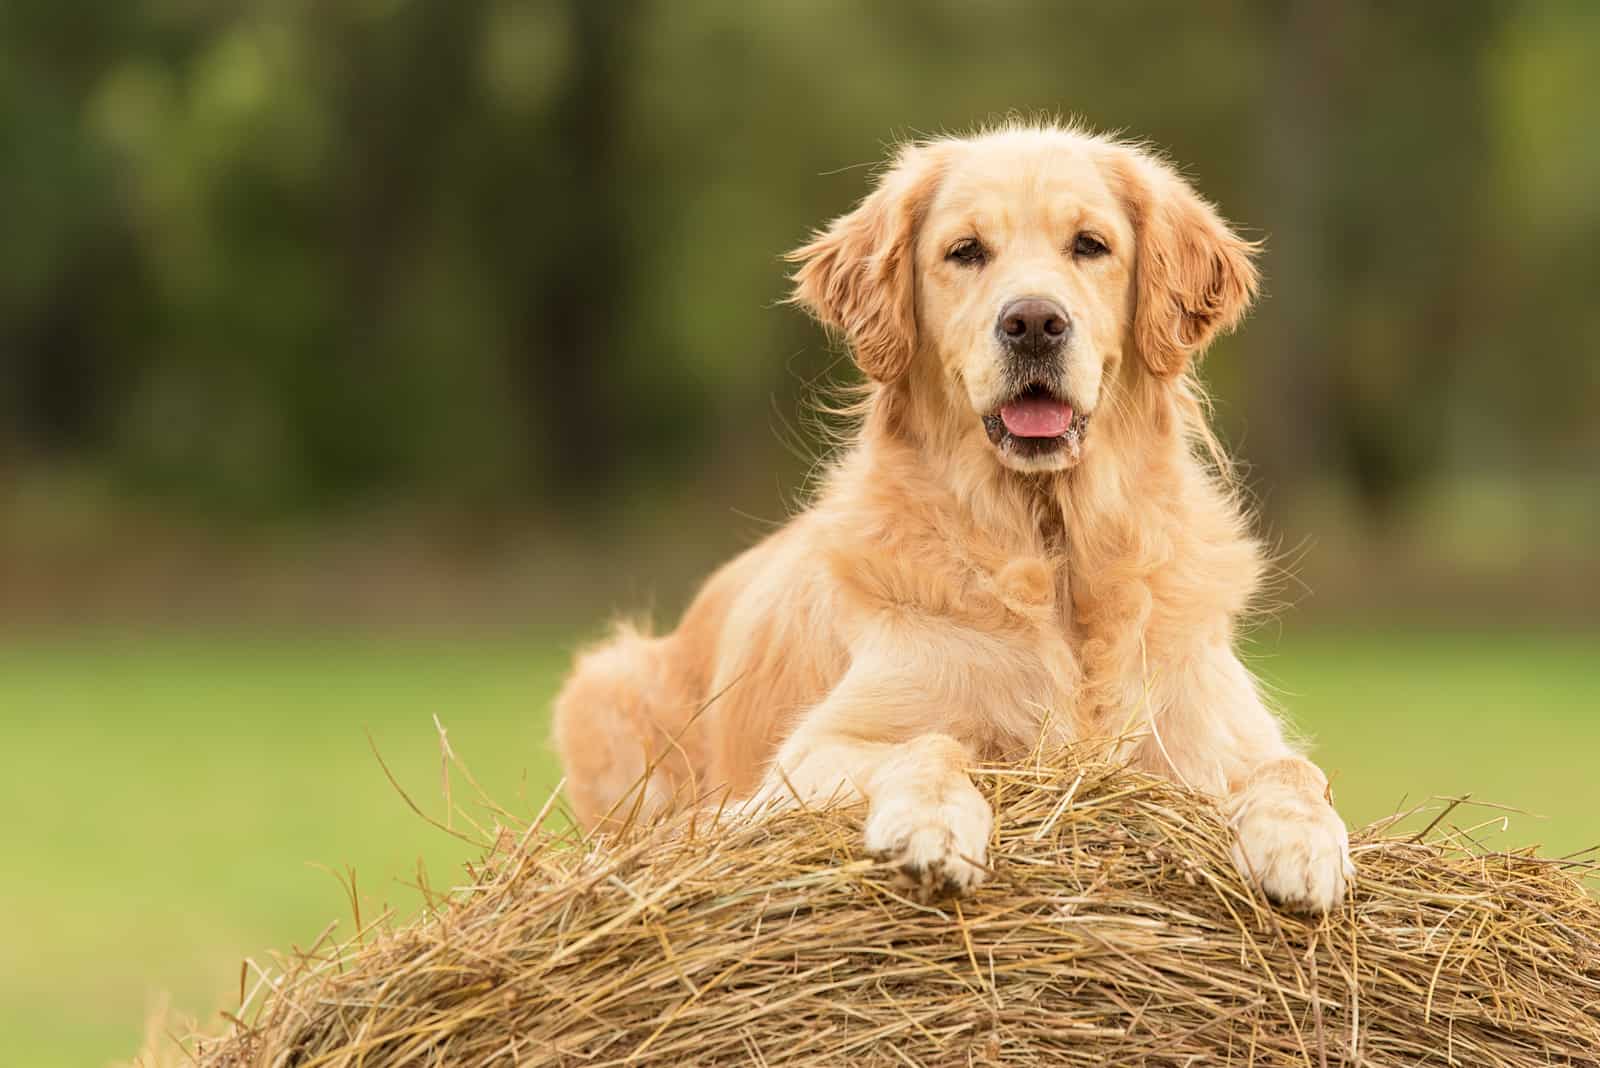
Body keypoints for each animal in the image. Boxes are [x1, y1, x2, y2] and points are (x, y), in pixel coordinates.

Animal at [550, 123, 1350, 908]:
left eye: (1090, 244)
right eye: (965, 251)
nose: (1034, 322)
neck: (1053, 549)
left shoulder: (1214, 736)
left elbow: (1298, 773)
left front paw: (1303, 846)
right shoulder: (807, 758)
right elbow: (930, 744)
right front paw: (931, 826)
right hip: (605, 687)